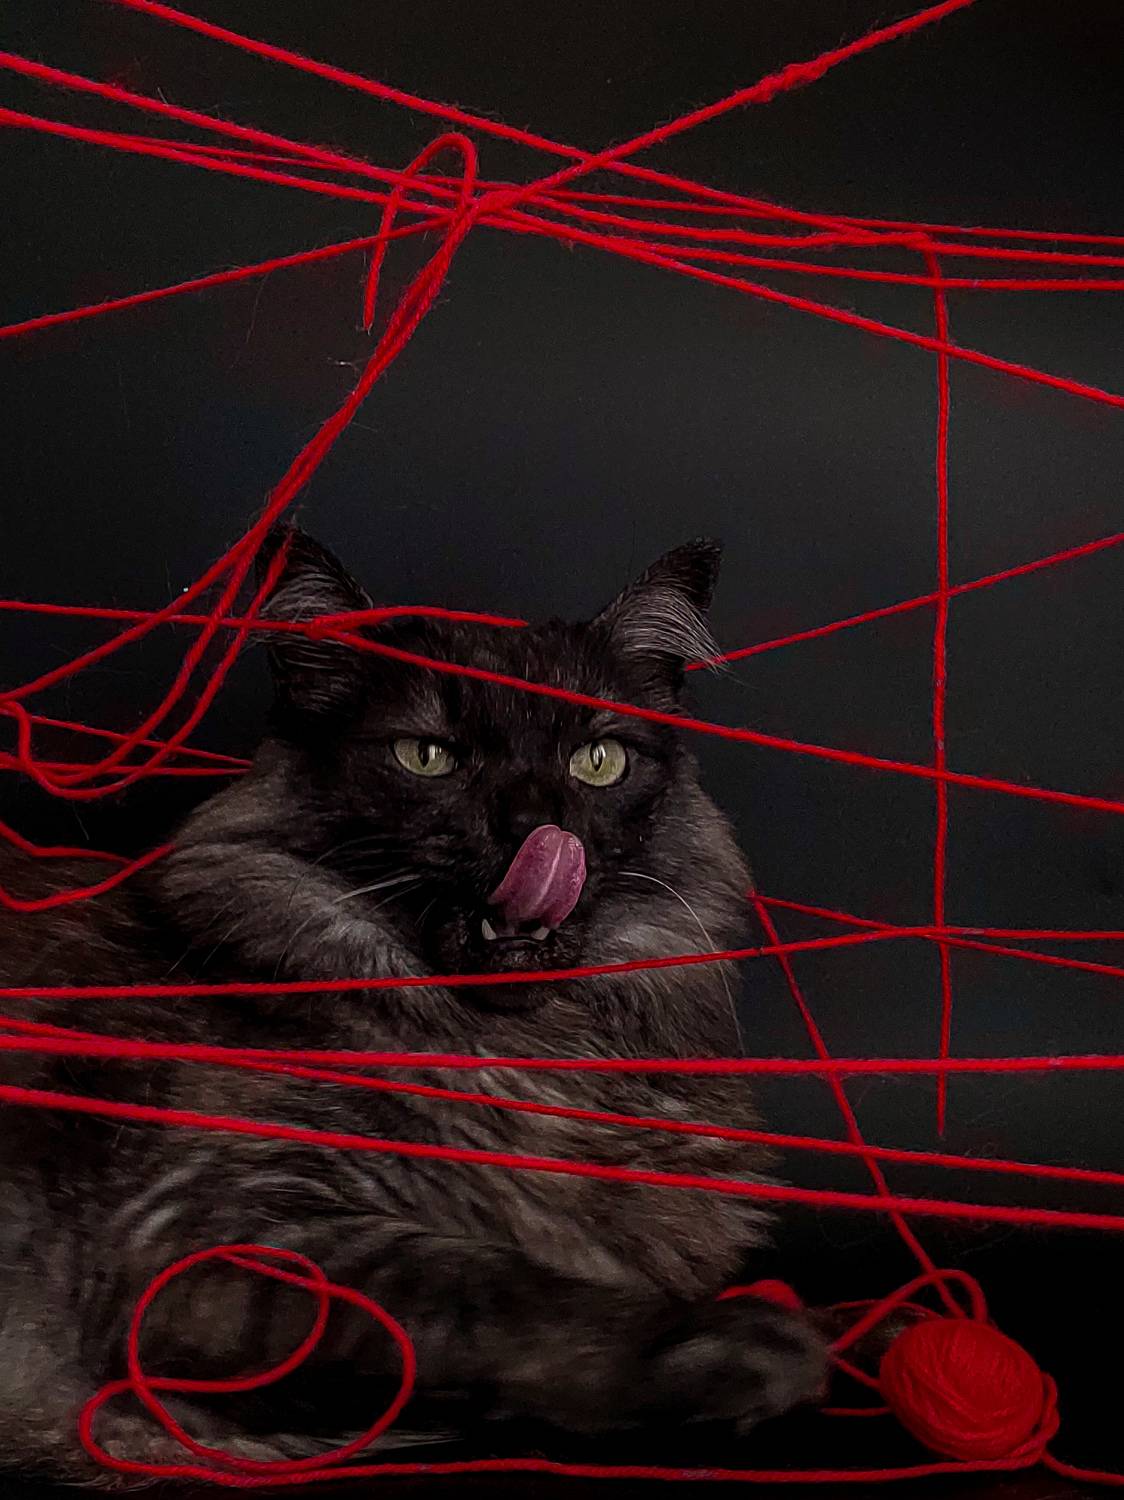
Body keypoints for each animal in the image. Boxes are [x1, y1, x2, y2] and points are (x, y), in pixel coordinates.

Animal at [0, 528, 826, 1482]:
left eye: (597, 761)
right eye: (427, 756)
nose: (536, 825)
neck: (529, 1052)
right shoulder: (200, 1234)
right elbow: (492, 1292)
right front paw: (742, 1347)